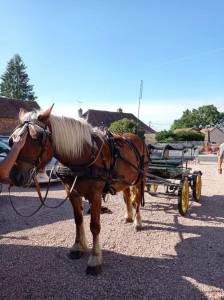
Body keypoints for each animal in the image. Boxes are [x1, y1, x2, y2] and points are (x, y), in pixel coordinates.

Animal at [9, 105, 149, 274]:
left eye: (37, 138)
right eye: (13, 140)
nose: (15, 176)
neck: (84, 156)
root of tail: (136, 138)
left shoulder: (95, 195)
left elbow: (94, 226)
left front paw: (95, 259)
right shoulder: (72, 193)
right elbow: (78, 220)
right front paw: (78, 247)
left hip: (140, 178)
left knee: (137, 200)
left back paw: (137, 222)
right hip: (125, 181)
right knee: (127, 197)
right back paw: (128, 216)